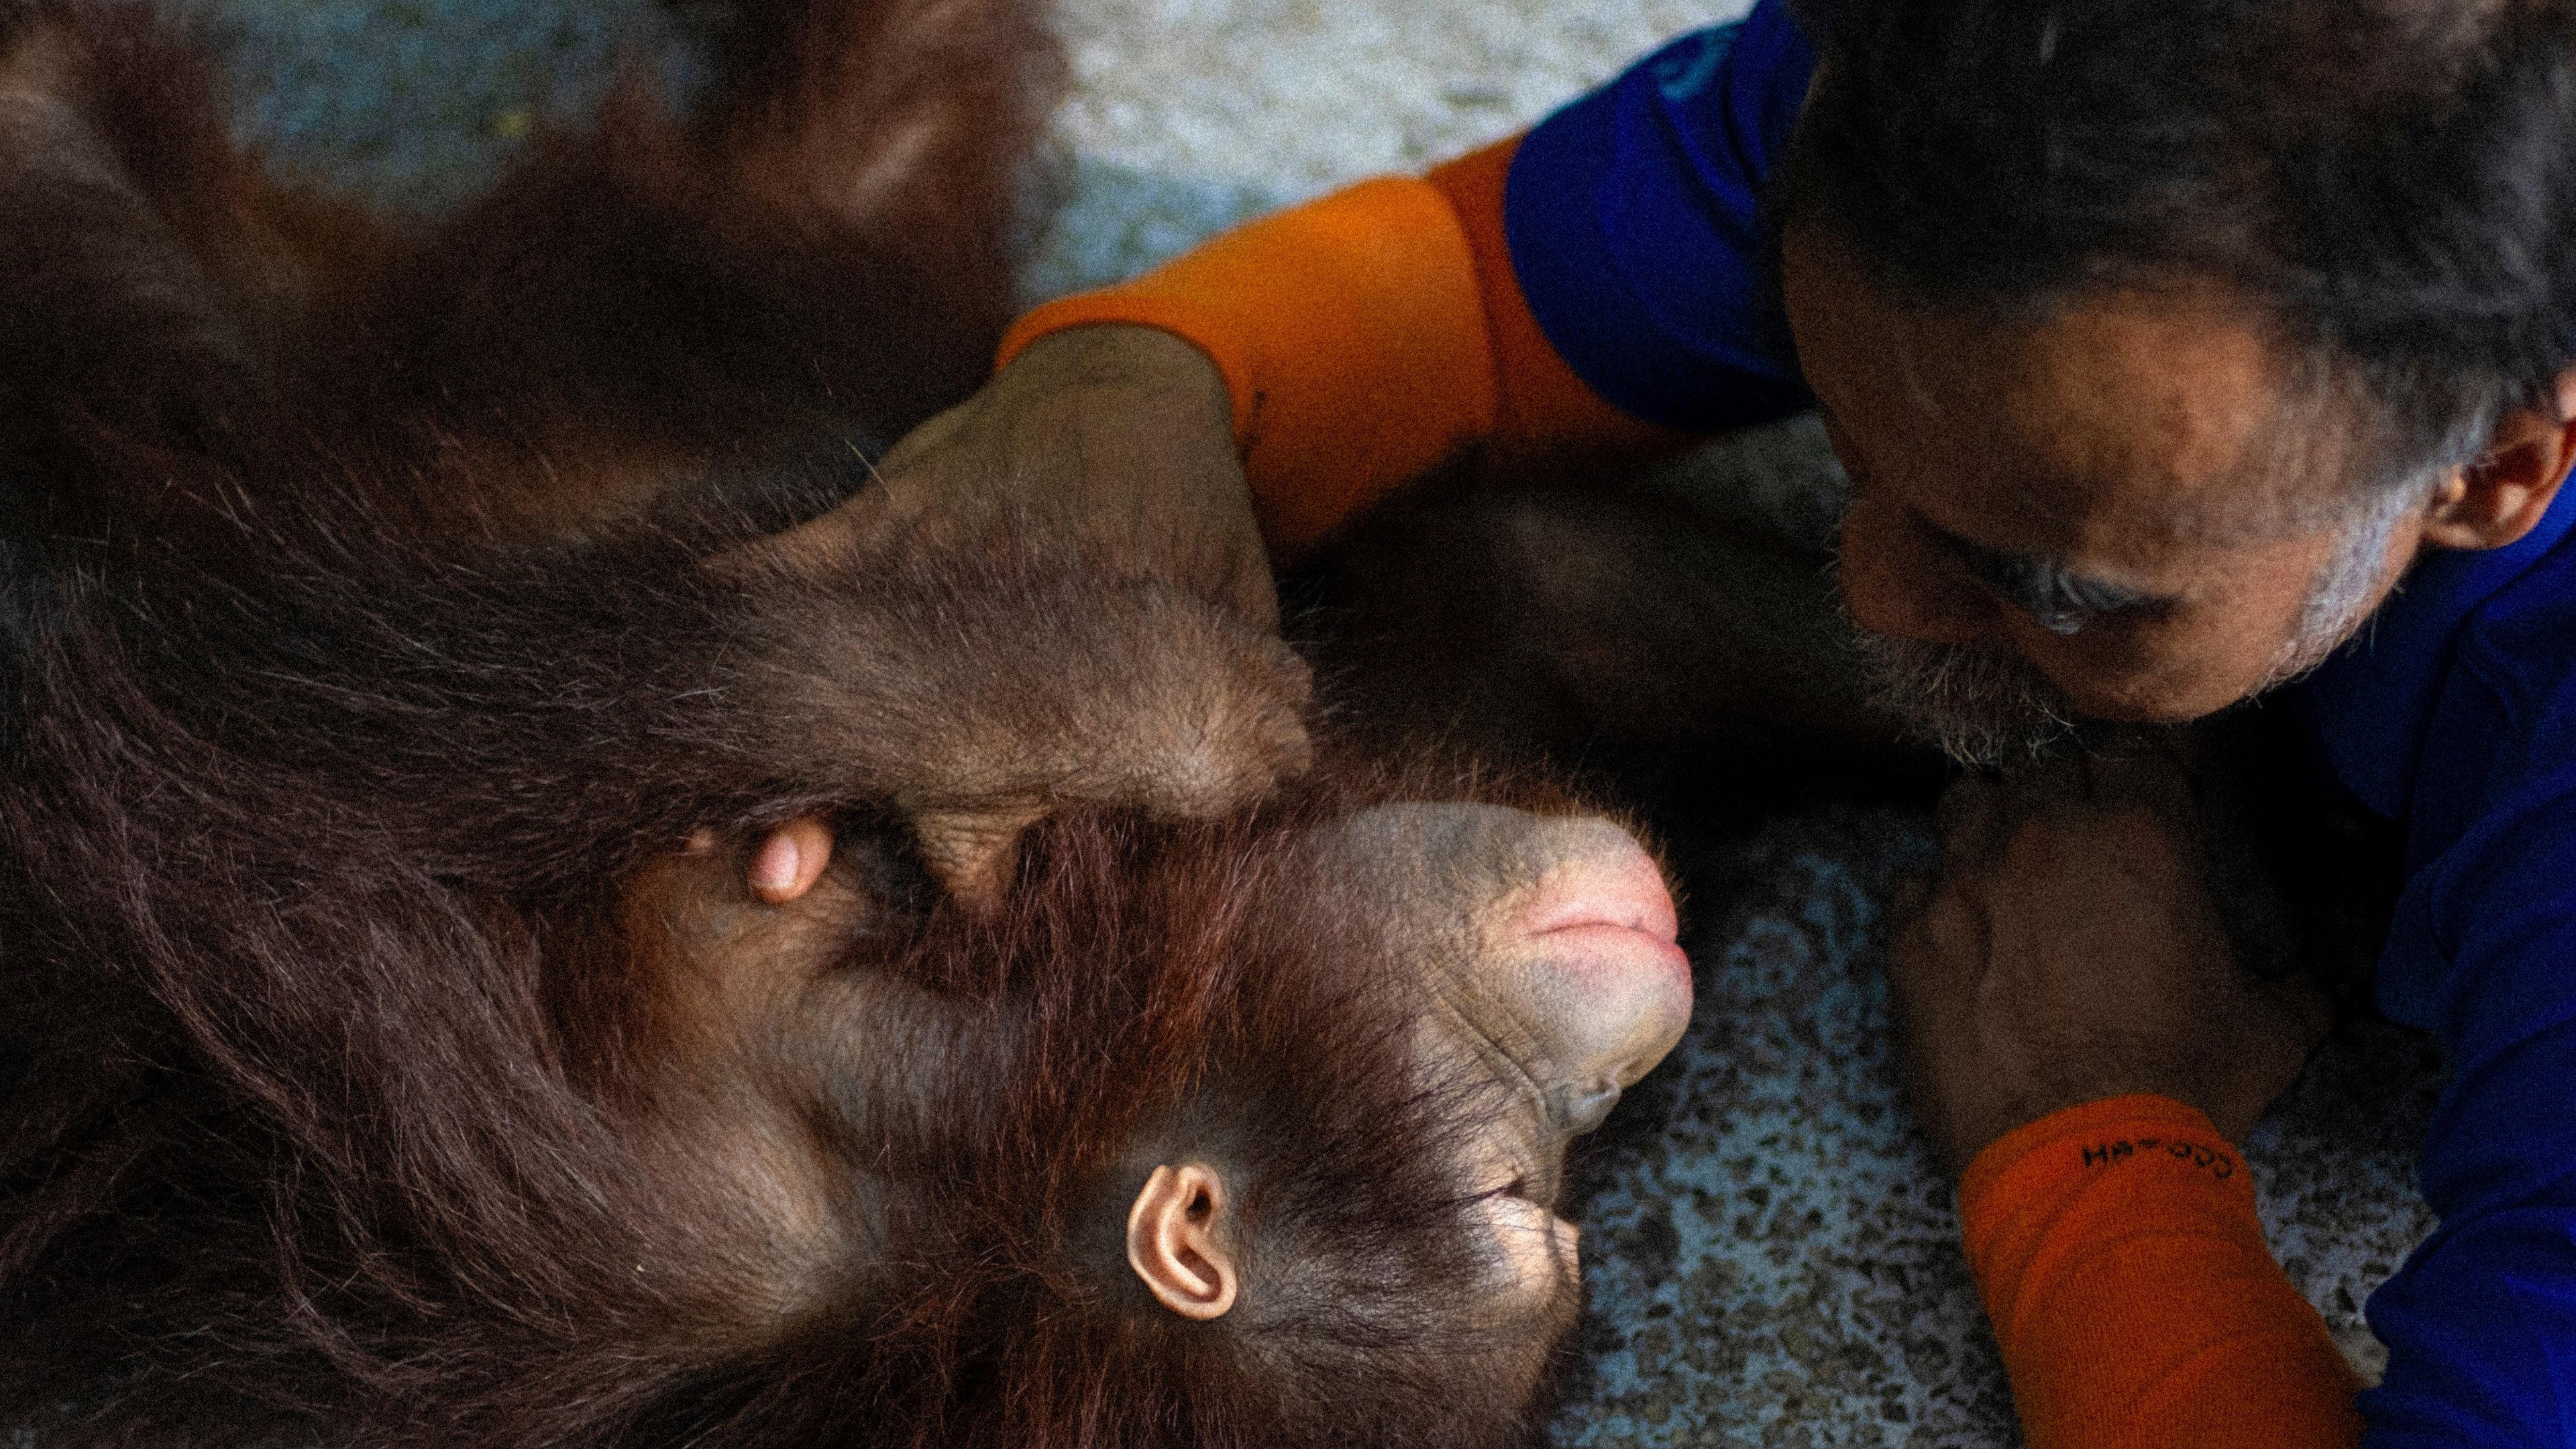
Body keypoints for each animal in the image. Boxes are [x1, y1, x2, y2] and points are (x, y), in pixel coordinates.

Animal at [0, 0, 1702, 1443]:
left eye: (1560, 1195)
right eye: (1515, 1187)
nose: (1606, 1089)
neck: (976, 1057)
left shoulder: (658, 1210)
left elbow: (261, 795)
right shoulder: (651, 1160)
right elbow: (289, 779)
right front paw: (1156, 699)